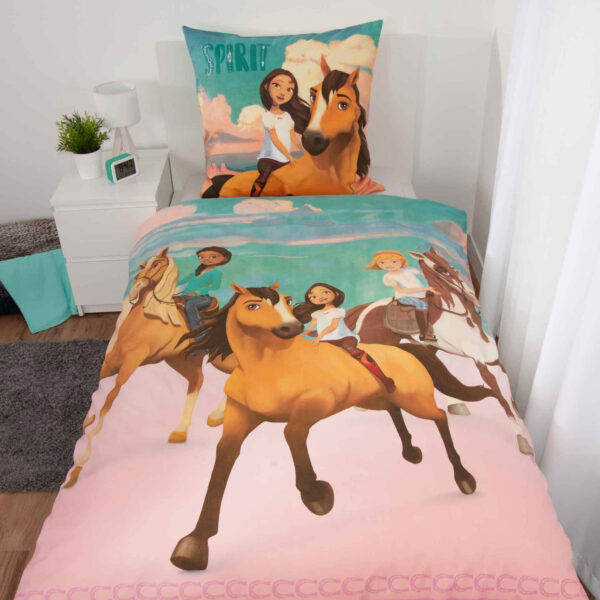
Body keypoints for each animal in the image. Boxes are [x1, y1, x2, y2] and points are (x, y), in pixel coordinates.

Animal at [64, 247, 236, 488]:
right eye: (144, 265)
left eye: (156, 265)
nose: (137, 285)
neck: (149, 318)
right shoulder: (113, 362)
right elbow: (100, 394)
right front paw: (87, 422)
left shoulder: (131, 363)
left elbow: (110, 400)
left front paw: (78, 468)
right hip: (182, 360)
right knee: (198, 381)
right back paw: (183, 430)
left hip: (218, 357)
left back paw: (215, 416)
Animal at [170, 281, 476, 571]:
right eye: (253, 306)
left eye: (288, 301)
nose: (292, 326)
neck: (270, 367)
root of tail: (402, 350)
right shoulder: (239, 416)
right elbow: (223, 459)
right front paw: (195, 543)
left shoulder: (315, 404)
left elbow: (292, 433)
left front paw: (315, 494)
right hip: (379, 398)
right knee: (394, 409)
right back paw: (411, 451)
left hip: (416, 400)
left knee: (439, 417)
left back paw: (463, 477)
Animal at [345, 248, 533, 456]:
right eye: (439, 269)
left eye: (449, 264)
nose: (471, 295)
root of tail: (365, 309)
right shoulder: (480, 363)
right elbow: (500, 396)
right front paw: (522, 439)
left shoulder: (492, 361)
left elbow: (509, 397)